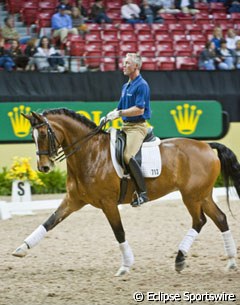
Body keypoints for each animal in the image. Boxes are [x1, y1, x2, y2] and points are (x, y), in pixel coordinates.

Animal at [12, 108, 240, 274]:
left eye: (43, 133)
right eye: (32, 136)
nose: (44, 167)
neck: (89, 153)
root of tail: (206, 145)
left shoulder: (108, 203)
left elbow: (119, 231)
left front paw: (125, 265)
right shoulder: (73, 200)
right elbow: (49, 222)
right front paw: (21, 249)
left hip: (191, 196)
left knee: (199, 221)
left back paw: (180, 259)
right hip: (203, 195)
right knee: (220, 218)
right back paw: (230, 262)